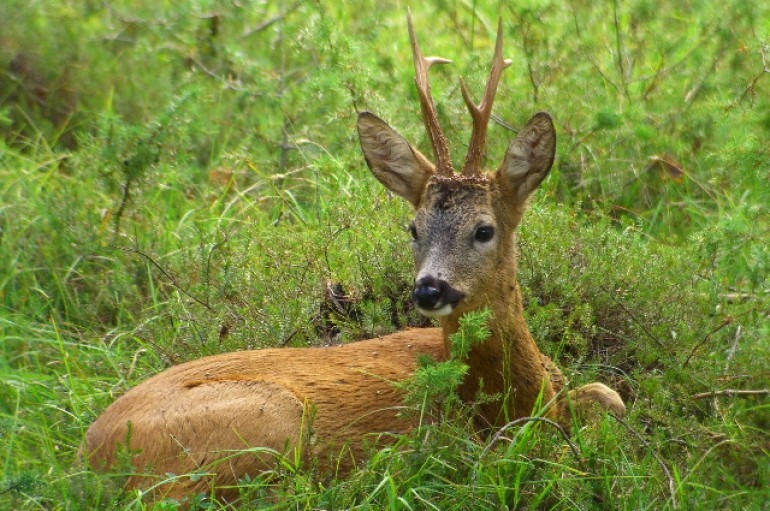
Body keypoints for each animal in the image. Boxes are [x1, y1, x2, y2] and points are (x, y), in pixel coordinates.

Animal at [85, 15, 624, 504]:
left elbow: (609, 395)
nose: (429, 289)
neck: (513, 398)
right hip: (272, 419)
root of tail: (90, 454)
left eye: (484, 230)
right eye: (413, 228)